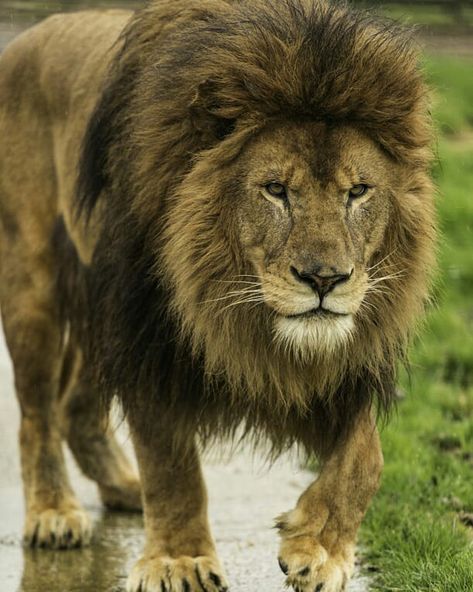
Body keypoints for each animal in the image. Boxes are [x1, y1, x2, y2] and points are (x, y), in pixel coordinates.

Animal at [0, 0, 436, 588]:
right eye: (275, 190)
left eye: (358, 191)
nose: (325, 280)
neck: (231, 303)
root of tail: (30, 36)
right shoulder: (148, 335)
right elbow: (170, 460)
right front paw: (179, 560)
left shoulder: (337, 366)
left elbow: (368, 457)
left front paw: (318, 549)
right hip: (35, 284)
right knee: (37, 413)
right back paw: (52, 513)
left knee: (73, 406)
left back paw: (123, 488)